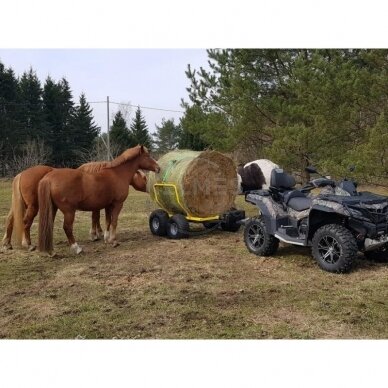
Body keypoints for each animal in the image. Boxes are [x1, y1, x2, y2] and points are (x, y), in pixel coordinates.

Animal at [2, 163, 148, 250]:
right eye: (144, 177)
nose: (149, 188)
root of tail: (22, 174)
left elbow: (99, 218)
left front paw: (99, 233)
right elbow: (96, 217)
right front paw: (95, 234)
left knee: (11, 220)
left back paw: (7, 243)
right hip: (33, 206)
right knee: (25, 222)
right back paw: (28, 244)